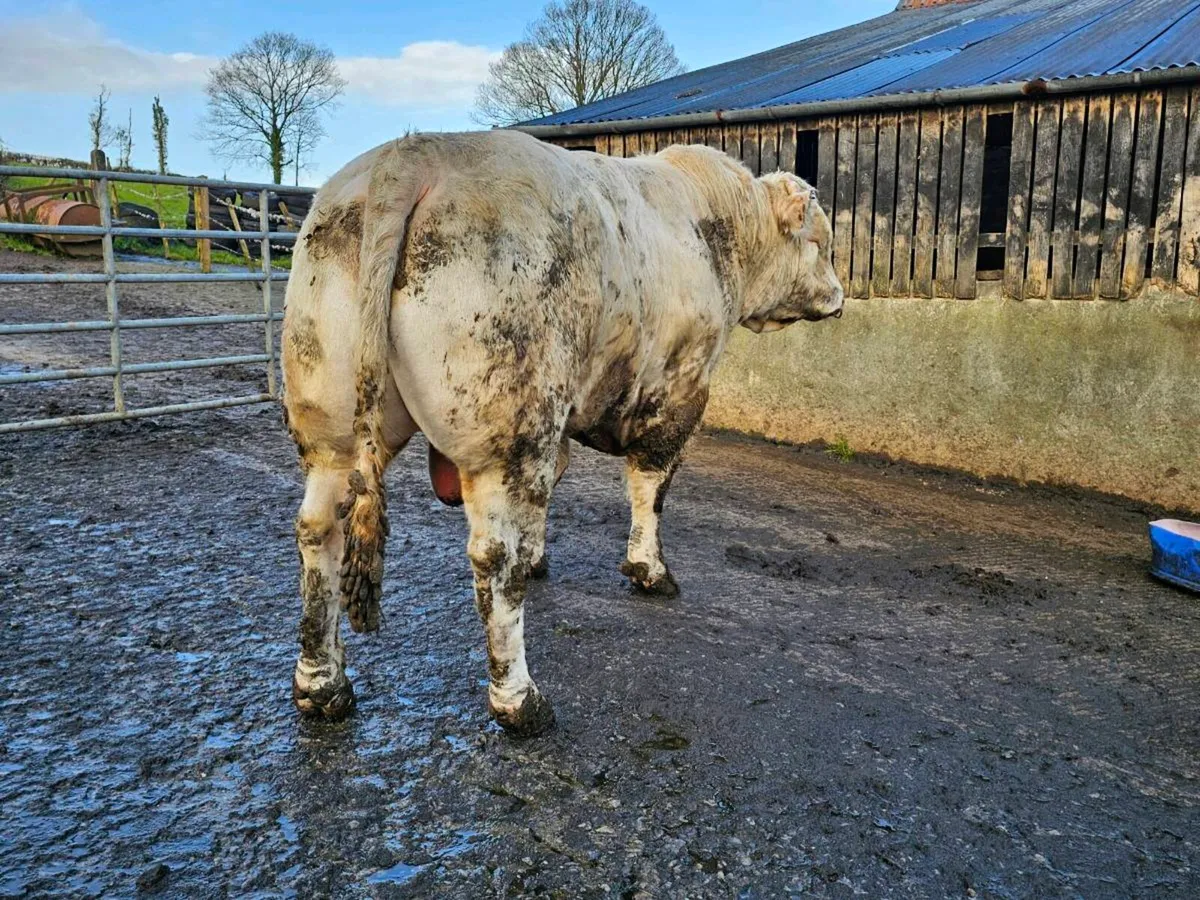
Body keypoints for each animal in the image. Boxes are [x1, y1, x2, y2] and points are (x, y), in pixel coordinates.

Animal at [280, 130, 843, 737]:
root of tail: (412, 154)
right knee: (494, 558)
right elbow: (651, 487)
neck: (719, 224)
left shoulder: (566, 416)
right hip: (508, 429)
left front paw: (543, 556)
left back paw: (322, 684)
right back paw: (519, 700)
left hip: (331, 428)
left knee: (318, 531)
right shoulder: (679, 389)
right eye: (820, 241)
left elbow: (554, 486)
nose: (839, 297)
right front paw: (650, 570)